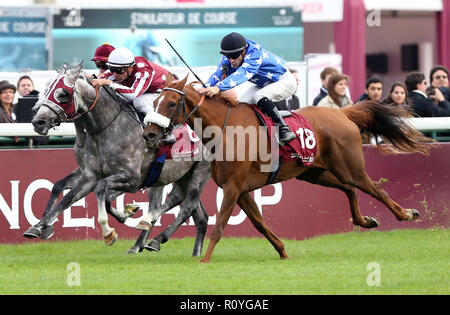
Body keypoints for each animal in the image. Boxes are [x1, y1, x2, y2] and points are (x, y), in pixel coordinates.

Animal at [21, 64, 211, 256]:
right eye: (46, 89)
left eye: (63, 94)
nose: (38, 121)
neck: (105, 128)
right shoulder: (88, 175)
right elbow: (65, 195)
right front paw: (39, 226)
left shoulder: (132, 179)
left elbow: (102, 191)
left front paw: (110, 231)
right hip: (179, 174)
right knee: (196, 214)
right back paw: (187, 250)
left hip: (198, 170)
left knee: (186, 205)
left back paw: (153, 238)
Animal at [143, 74, 432, 264]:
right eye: (155, 101)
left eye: (171, 103)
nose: (149, 133)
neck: (225, 129)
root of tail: (343, 113)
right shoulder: (240, 189)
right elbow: (259, 223)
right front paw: (283, 251)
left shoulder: (233, 187)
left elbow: (221, 225)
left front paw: (205, 260)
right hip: (315, 173)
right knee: (349, 190)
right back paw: (365, 220)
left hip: (351, 168)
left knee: (376, 189)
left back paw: (407, 214)